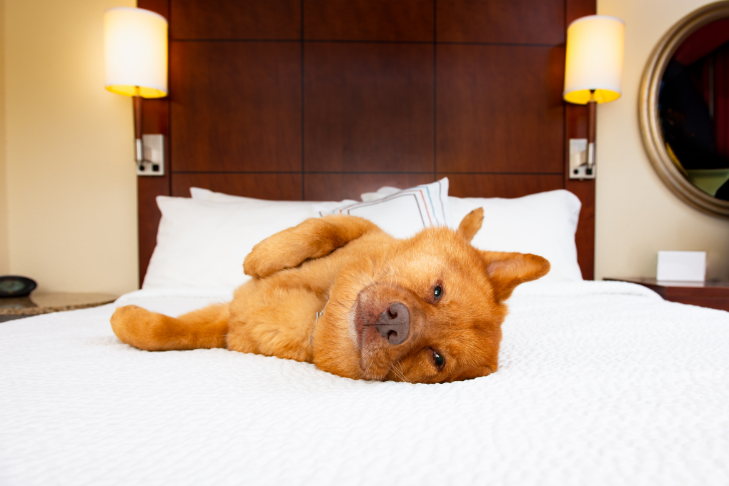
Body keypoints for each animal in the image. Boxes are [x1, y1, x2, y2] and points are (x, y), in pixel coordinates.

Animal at [112, 209, 544, 384]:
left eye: (436, 358)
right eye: (437, 292)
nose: (397, 321)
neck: (320, 310)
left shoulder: (227, 327)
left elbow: (167, 332)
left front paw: (123, 318)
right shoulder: (361, 226)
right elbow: (321, 229)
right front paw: (262, 256)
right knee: (463, 231)